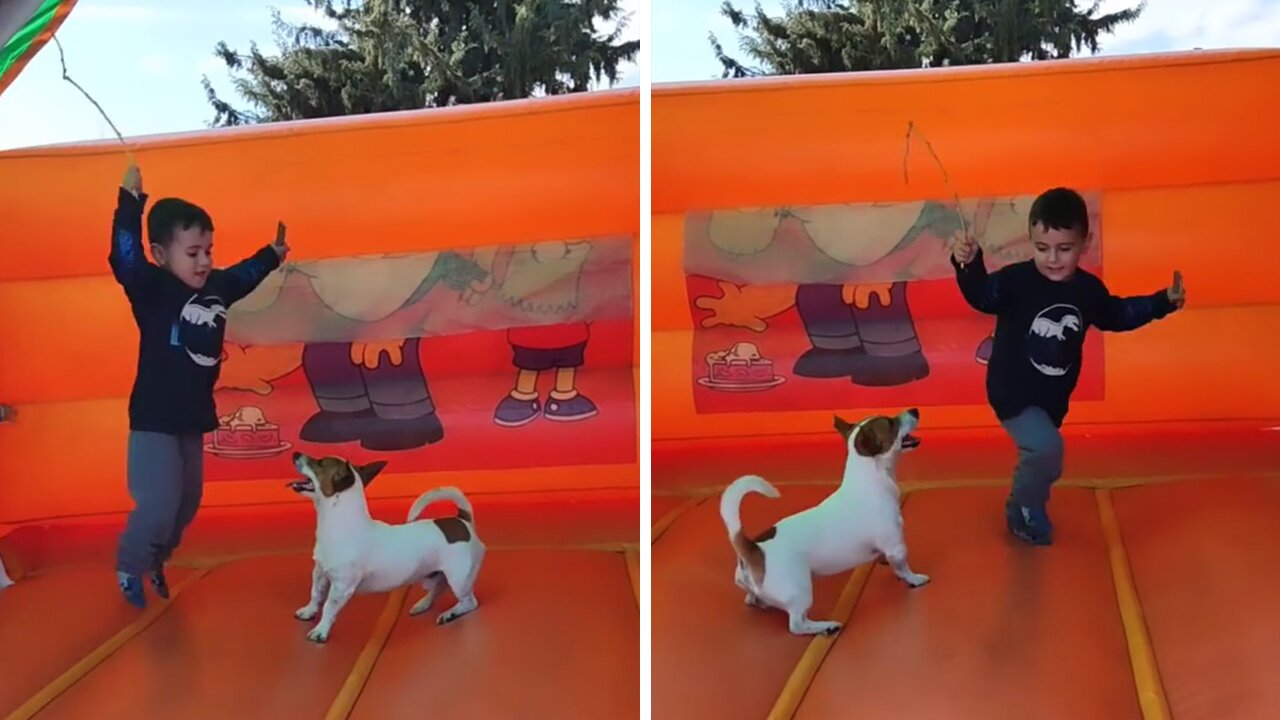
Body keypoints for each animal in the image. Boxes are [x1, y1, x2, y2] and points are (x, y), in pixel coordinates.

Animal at [289, 450, 483, 640]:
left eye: (319, 463)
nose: (295, 453)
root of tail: (463, 521)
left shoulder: (342, 587)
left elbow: (329, 606)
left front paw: (321, 630)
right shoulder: (320, 572)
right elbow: (316, 593)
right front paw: (309, 611)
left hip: (459, 579)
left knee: (469, 602)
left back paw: (451, 613)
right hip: (433, 576)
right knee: (438, 588)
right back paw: (423, 604)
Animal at [721, 409, 931, 632]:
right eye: (891, 423)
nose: (915, 410)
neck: (871, 479)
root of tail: (753, 548)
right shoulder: (896, 546)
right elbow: (903, 566)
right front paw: (914, 579)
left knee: (752, 599)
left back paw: (757, 601)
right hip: (800, 591)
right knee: (797, 624)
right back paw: (826, 626)